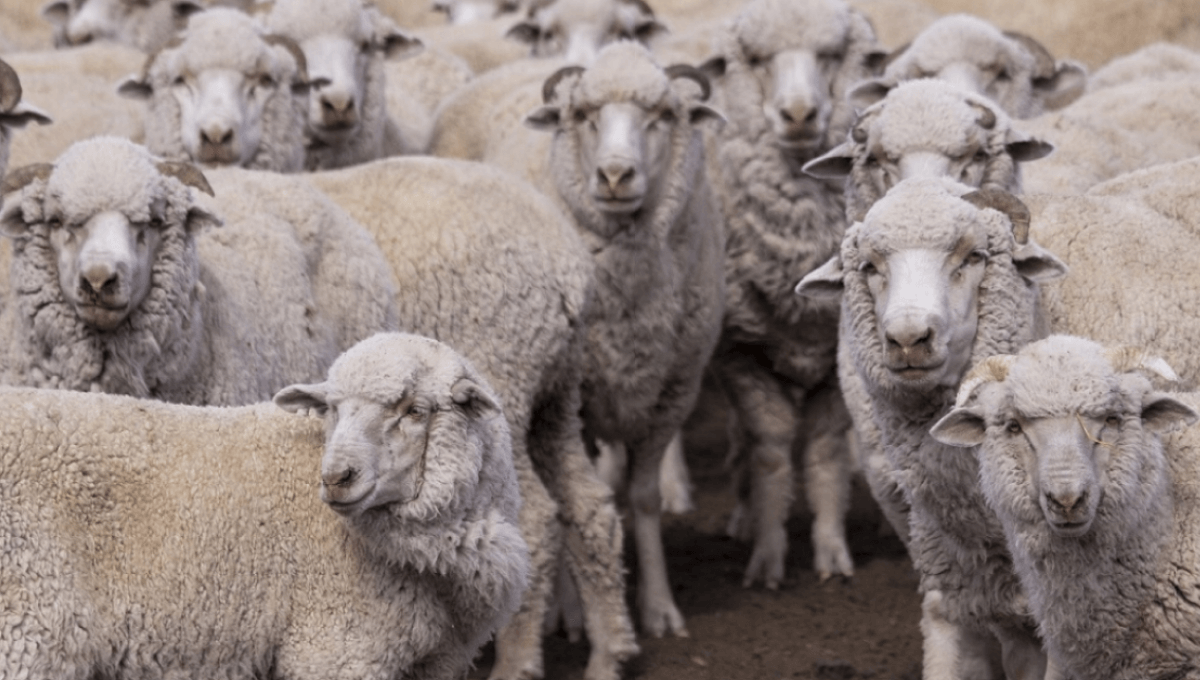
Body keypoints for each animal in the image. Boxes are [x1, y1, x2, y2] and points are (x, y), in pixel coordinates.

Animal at [0, 332, 529, 680]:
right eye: (332, 409)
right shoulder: (336, 649)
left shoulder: (435, 662)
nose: (336, 477)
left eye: (415, 411)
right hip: (27, 630)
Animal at [303, 156, 639, 680]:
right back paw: (609, 653)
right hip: (556, 399)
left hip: (504, 385)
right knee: (591, 506)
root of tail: (569, 263)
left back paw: (518, 660)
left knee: (535, 519)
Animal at [499, 42, 726, 637]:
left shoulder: (673, 393)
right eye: (584, 115)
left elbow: (643, 499)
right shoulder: (570, 403)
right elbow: (570, 501)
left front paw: (659, 606)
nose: (616, 175)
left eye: (663, 115)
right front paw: (568, 612)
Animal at [697, 0, 887, 589]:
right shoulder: (741, 352)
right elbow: (771, 450)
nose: (799, 114)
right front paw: (767, 554)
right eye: (758, 59)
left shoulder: (838, 351)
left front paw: (830, 551)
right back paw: (742, 514)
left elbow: (824, 452)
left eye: (830, 55)